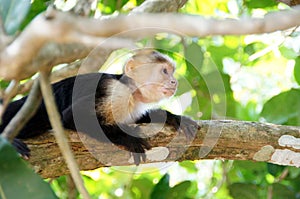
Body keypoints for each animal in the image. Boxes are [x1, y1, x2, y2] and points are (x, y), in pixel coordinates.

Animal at [0, 49, 199, 165]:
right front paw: (128, 139)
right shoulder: (115, 92)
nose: (174, 82)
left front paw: (174, 118)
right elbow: (72, 115)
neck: (131, 90)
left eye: (171, 72)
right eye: (164, 71)